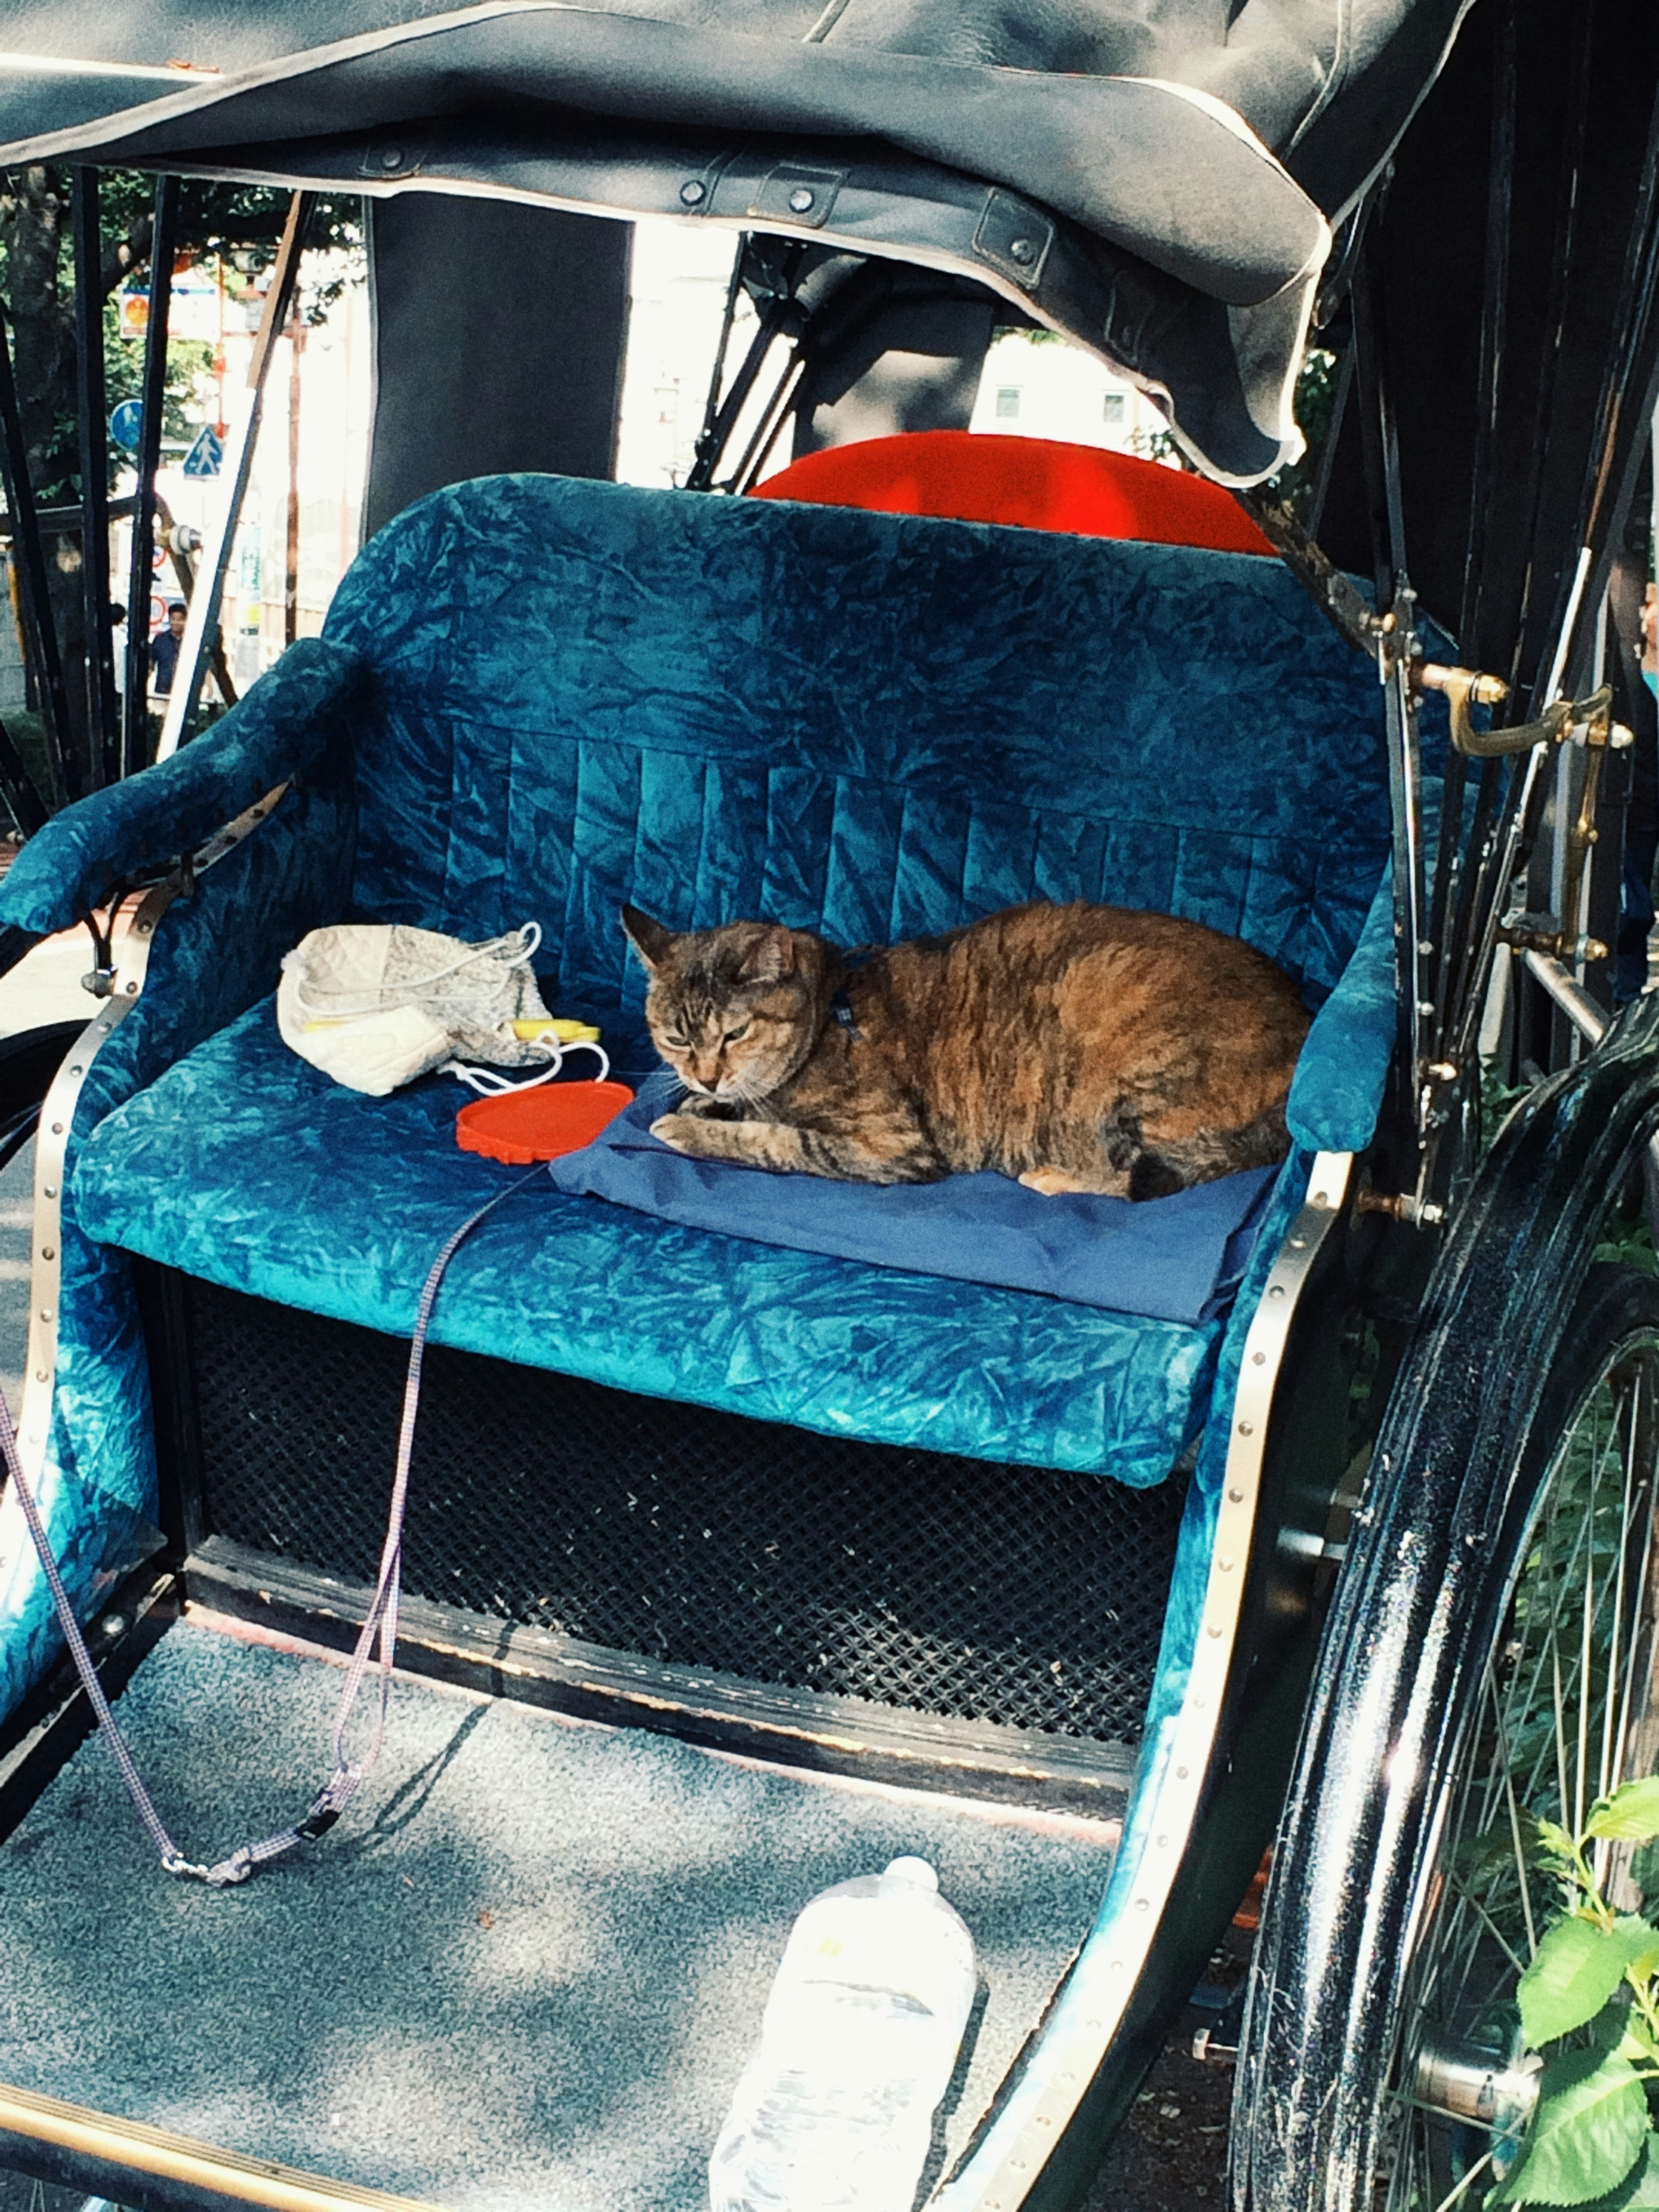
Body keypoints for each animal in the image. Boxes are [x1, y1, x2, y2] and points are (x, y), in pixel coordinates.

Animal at [623, 898, 1309, 1203]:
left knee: (1136, 1176)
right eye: (676, 1037)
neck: (827, 1016)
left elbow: (777, 1140)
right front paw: (701, 1106)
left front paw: (688, 1127)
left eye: (734, 1033)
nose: (706, 1075)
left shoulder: (892, 1146)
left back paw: (1052, 1177)